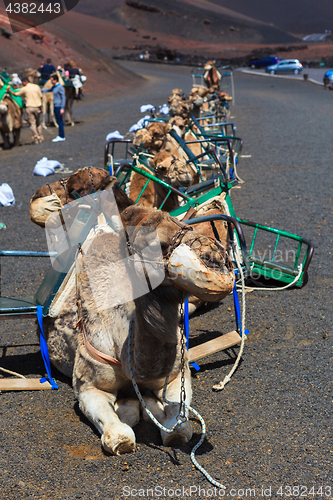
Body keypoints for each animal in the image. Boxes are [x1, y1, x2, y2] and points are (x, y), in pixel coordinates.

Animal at [41, 198, 233, 454]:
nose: (216, 258)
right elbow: (118, 435)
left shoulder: (176, 375)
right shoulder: (87, 386)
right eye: (155, 244)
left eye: (181, 222)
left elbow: (180, 427)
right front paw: (124, 430)